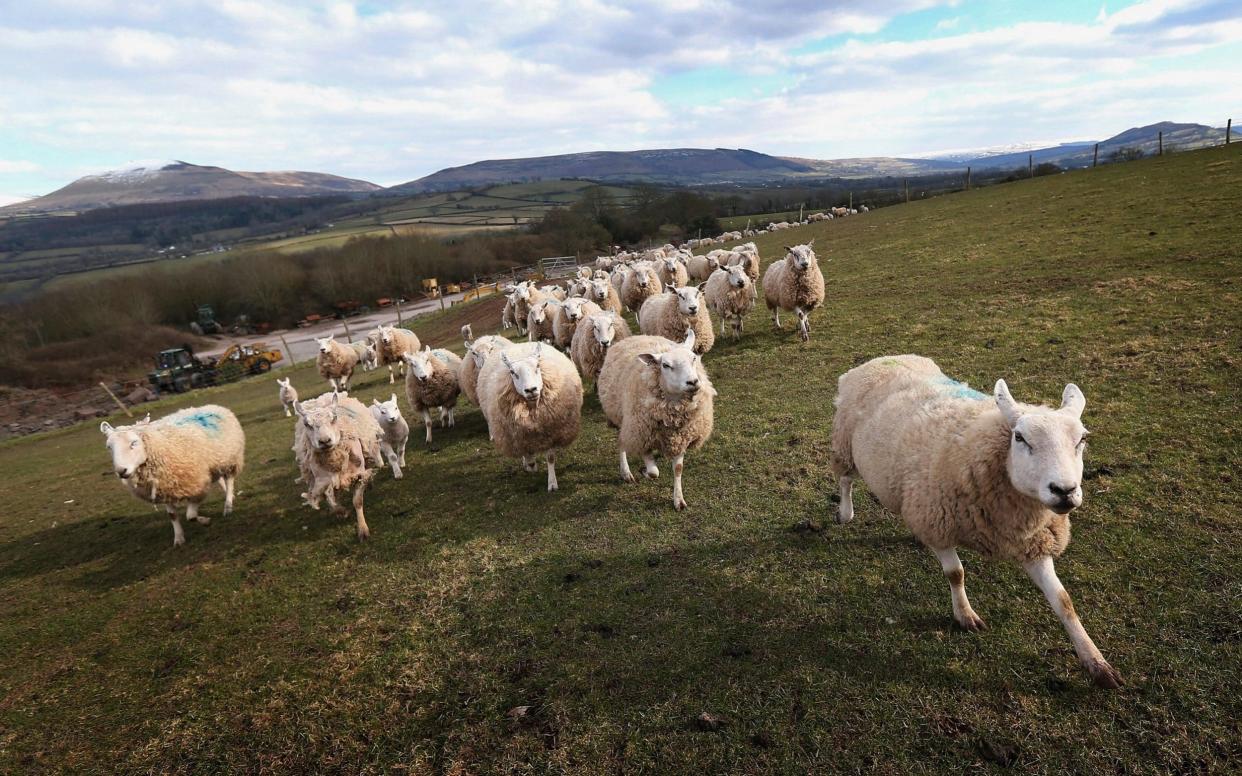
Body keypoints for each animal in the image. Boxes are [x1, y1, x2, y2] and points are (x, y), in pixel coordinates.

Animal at [103, 402, 248, 548]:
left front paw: (205, 521)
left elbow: (191, 516)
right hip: (216, 462)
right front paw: (178, 538)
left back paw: (228, 505)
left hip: (231, 459)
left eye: (134, 442)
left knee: (229, 480)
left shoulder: (197, 485)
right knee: (220, 479)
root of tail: (213, 406)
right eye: (109, 447)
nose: (121, 471)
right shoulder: (163, 489)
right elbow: (172, 515)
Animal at [291, 392, 380, 538]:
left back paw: (370, 484)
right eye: (307, 424)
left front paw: (362, 529)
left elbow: (357, 501)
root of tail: (324, 397)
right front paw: (341, 512)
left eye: (334, 418)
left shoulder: (358, 473)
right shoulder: (323, 481)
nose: (324, 441)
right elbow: (331, 501)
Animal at [479, 340, 586, 489]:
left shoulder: (551, 431)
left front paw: (552, 483)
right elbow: (527, 454)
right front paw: (531, 464)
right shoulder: (519, 432)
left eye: (537, 366)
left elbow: (550, 458)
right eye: (512, 372)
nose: (531, 390)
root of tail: (519, 345)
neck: (533, 409)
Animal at [596, 327, 715, 509]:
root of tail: (634, 337)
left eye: (694, 358)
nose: (693, 382)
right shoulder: (642, 437)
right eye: (666, 365)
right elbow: (653, 472)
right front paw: (644, 471)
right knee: (622, 442)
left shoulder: (681, 438)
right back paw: (626, 472)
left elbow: (678, 469)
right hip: (623, 419)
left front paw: (678, 500)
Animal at [829, 355, 1122, 685]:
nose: (1065, 491)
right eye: (1019, 437)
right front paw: (965, 615)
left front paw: (1095, 661)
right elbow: (956, 573)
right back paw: (845, 513)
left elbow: (1064, 601)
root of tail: (883, 358)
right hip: (844, 446)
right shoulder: (937, 522)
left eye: (1082, 439)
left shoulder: (1034, 543)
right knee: (845, 480)